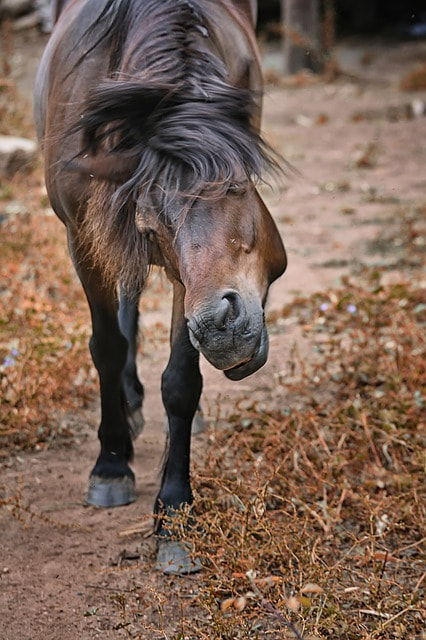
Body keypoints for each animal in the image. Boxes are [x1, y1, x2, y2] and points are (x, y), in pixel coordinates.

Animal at [33, 0, 286, 572]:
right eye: (155, 228)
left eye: (237, 186)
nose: (222, 329)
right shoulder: (85, 237)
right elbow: (106, 346)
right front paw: (109, 465)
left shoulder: (183, 282)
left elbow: (180, 382)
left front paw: (174, 514)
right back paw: (127, 412)